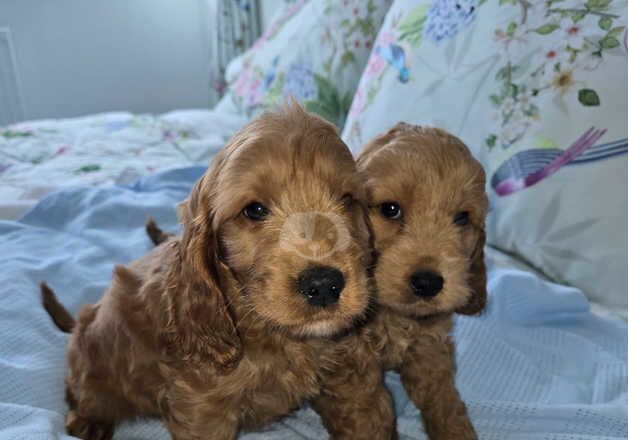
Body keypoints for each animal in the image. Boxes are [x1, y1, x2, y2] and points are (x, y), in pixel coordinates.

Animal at [356, 123, 488, 440]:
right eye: (390, 209)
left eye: (462, 218)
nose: (428, 283)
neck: (396, 316)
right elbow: (370, 412)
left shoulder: (430, 349)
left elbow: (445, 401)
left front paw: (457, 431)